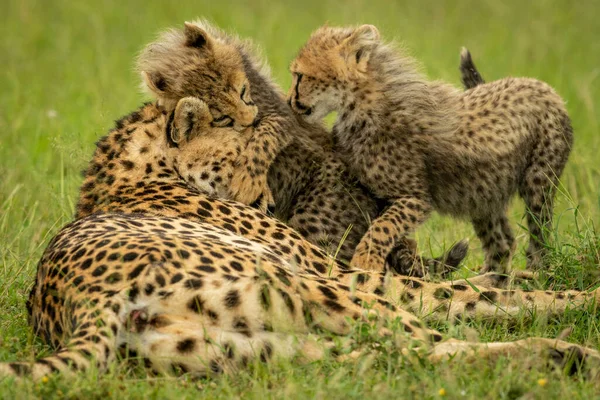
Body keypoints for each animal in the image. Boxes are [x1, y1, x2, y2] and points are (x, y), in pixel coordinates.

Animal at [1, 95, 600, 380]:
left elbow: (490, 288)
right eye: (247, 155)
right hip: (316, 291)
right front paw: (583, 297)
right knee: (425, 343)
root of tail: (77, 297)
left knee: (392, 357)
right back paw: (568, 353)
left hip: (260, 348)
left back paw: (556, 360)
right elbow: (484, 294)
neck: (142, 173)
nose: (267, 202)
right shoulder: (356, 276)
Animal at [288, 25, 576, 274]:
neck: (359, 106)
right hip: (482, 194)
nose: (290, 101)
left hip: (538, 182)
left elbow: (383, 226)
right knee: (502, 244)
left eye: (300, 76)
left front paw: (366, 260)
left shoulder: (415, 197)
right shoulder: (369, 191)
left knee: (539, 238)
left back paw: (534, 274)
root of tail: (540, 85)